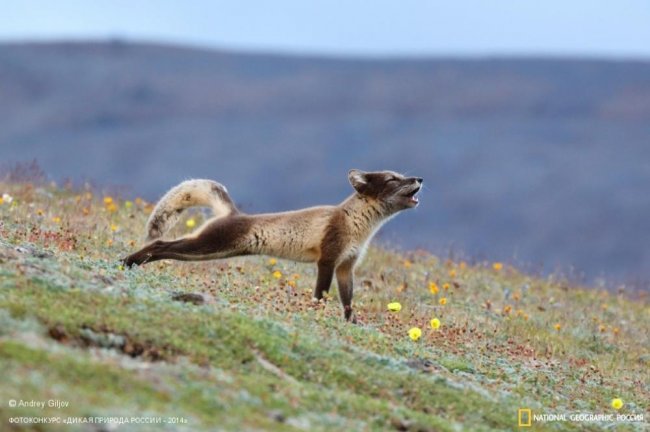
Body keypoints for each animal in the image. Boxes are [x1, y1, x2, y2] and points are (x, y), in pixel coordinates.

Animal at [123, 170, 422, 320]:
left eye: (401, 175)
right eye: (393, 179)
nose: (420, 178)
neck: (357, 225)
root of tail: (233, 213)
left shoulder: (346, 266)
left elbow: (348, 304)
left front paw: (350, 325)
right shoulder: (327, 260)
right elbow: (320, 295)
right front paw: (316, 315)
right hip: (206, 246)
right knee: (160, 244)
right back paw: (128, 262)